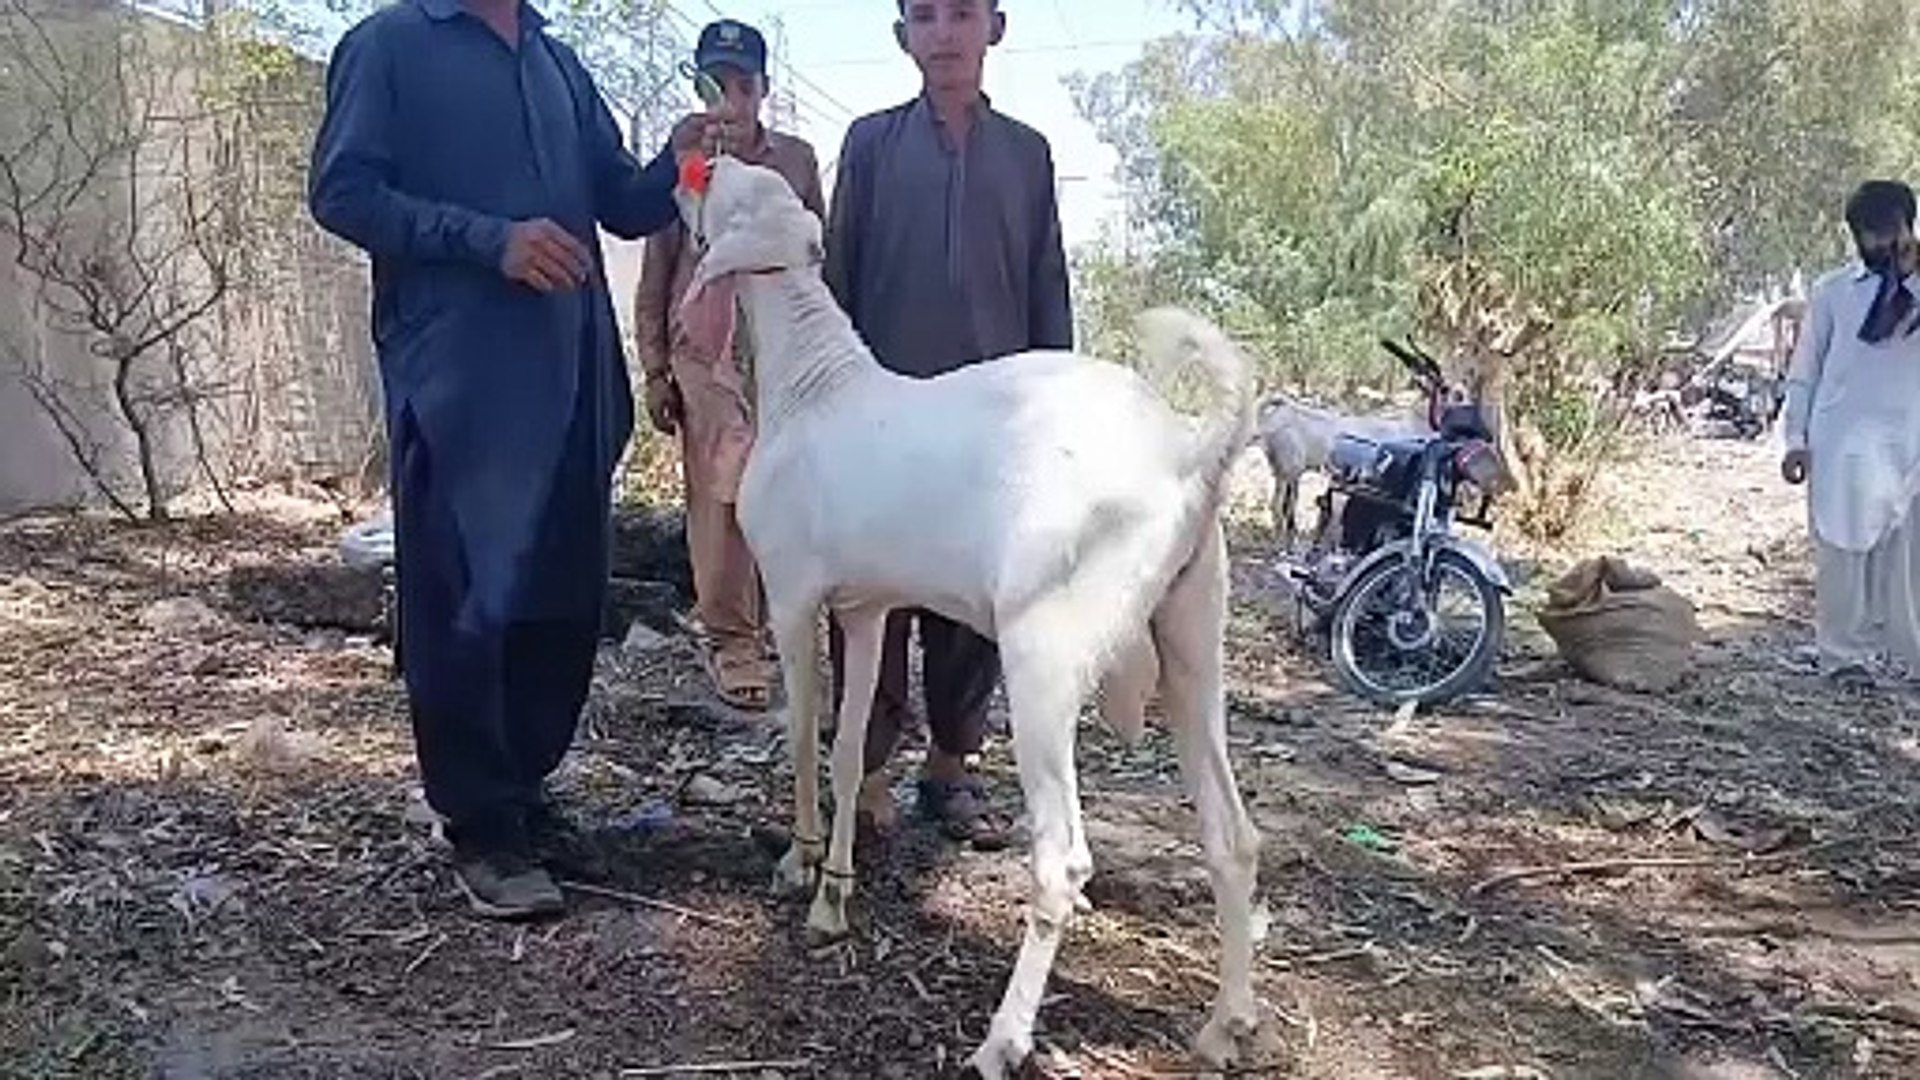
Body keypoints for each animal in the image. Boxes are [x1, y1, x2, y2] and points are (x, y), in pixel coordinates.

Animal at [672, 156, 1267, 1077]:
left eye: (728, 190)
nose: (691, 165)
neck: (813, 386)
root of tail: (1184, 452)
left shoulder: (795, 598)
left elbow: (803, 739)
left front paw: (798, 867)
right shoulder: (867, 609)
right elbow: (849, 751)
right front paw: (834, 898)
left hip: (1044, 655)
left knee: (1062, 860)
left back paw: (1001, 1041)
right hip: (1192, 632)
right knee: (1232, 836)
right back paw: (1223, 1026)